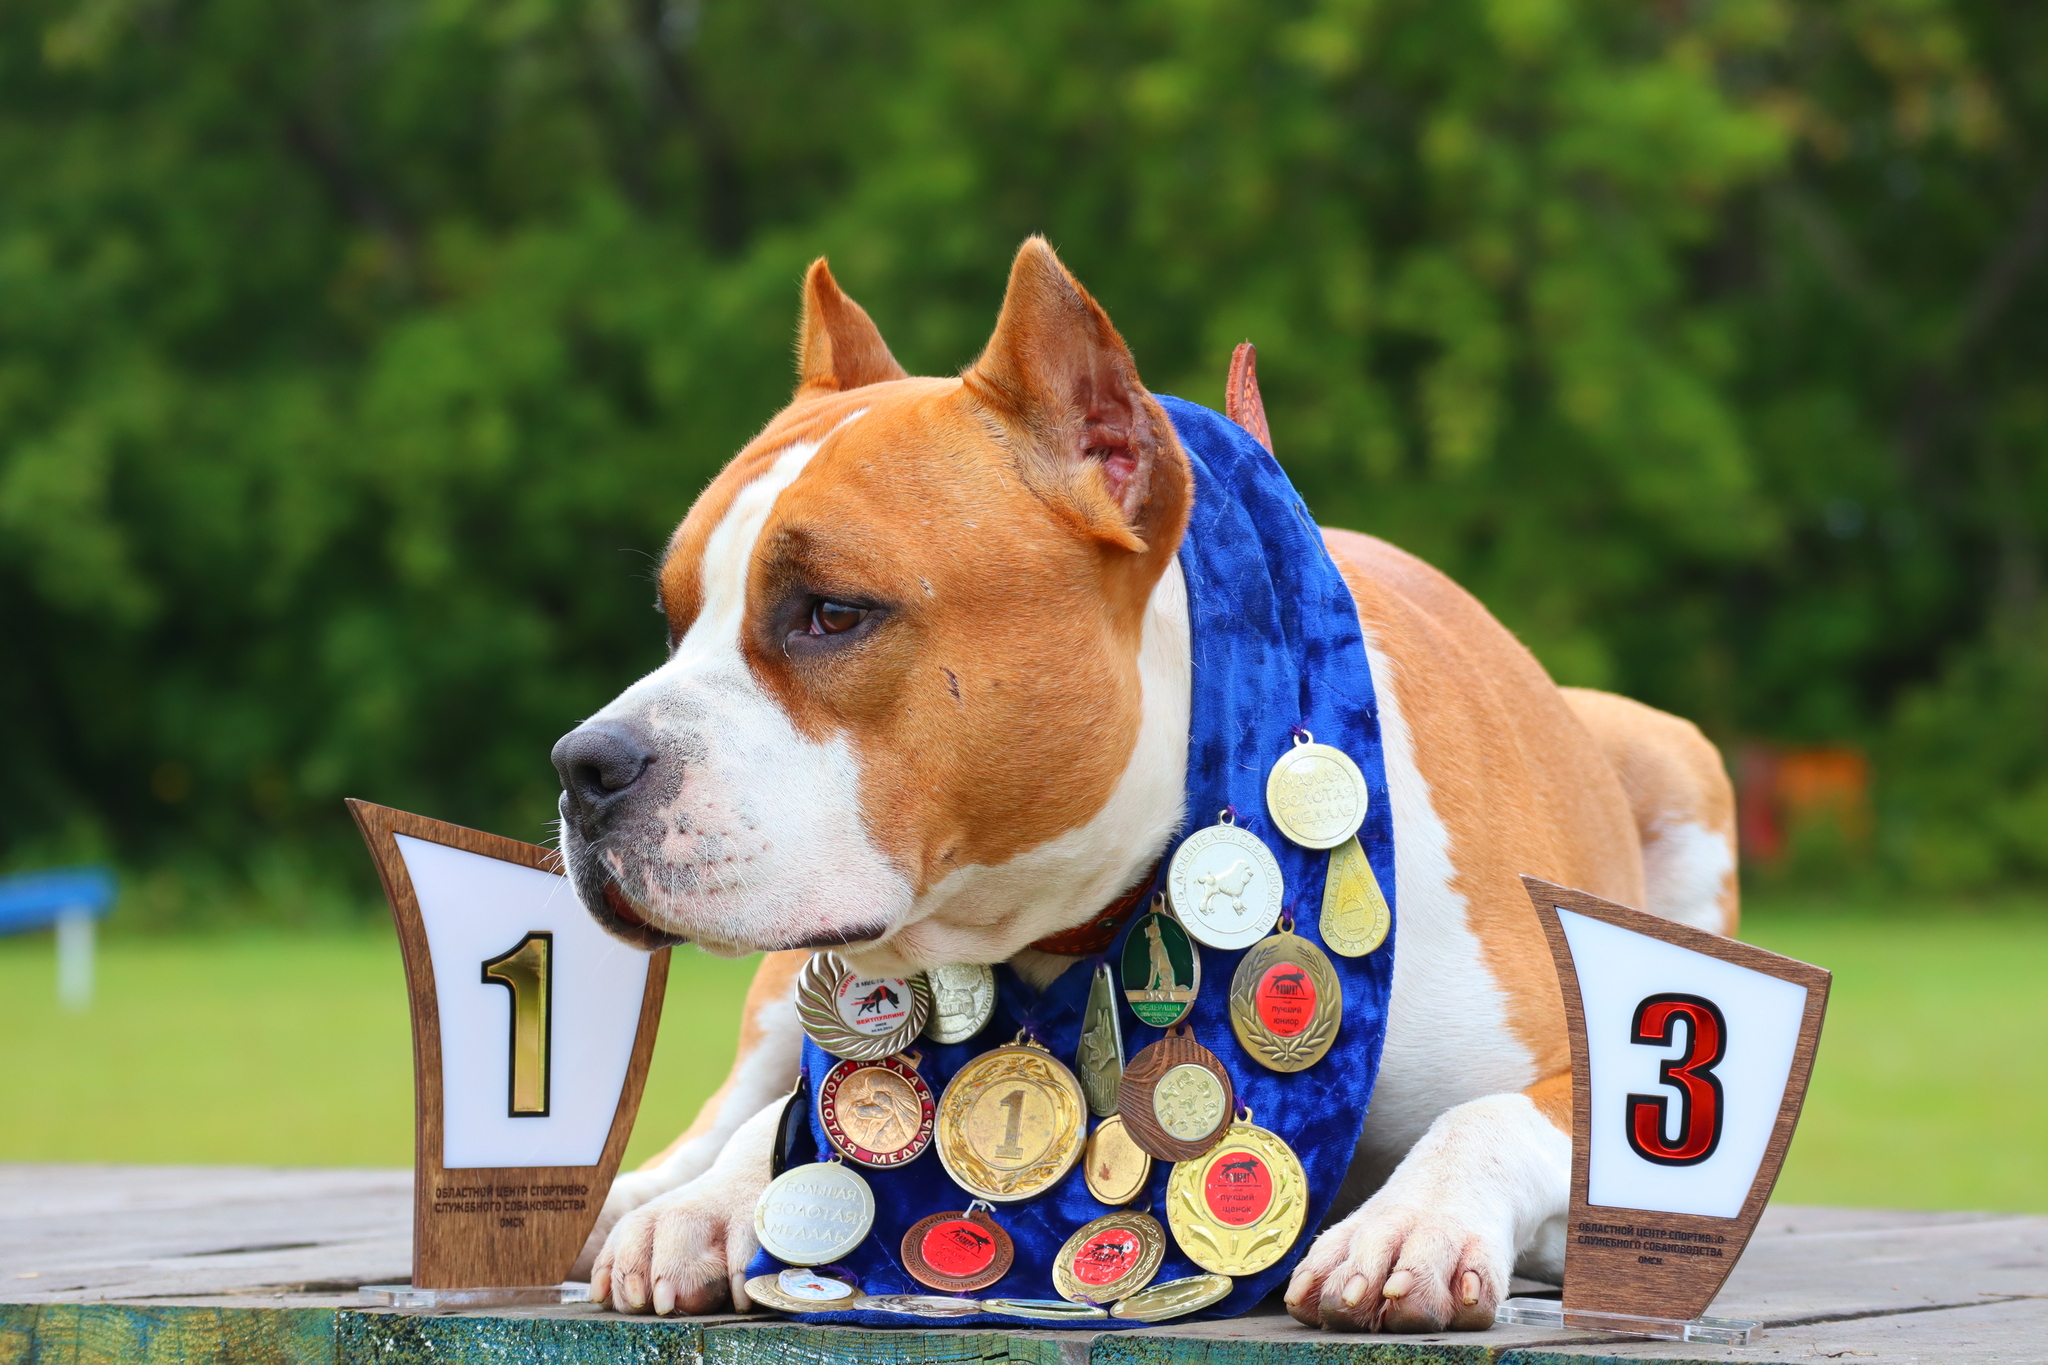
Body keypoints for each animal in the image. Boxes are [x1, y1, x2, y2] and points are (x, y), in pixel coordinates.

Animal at [552, 237, 1736, 1334]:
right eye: (674, 619)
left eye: (832, 612)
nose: (583, 765)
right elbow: (782, 1123)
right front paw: (703, 1209)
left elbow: (1488, 1116)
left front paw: (1414, 1222)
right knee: (733, 1108)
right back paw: (649, 1197)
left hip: (1674, 755)